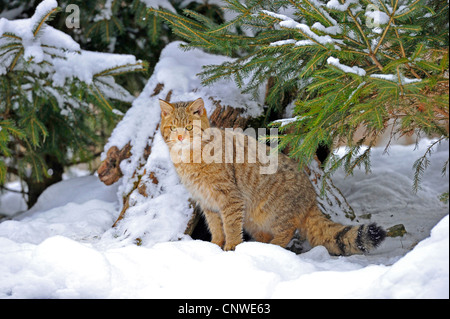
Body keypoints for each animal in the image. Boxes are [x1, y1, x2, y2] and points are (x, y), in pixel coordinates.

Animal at [160, 97, 384, 255]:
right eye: (173, 127)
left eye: (189, 127)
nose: (179, 137)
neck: (189, 158)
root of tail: (311, 196)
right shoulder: (207, 201)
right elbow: (215, 227)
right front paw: (214, 245)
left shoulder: (230, 198)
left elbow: (230, 226)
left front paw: (231, 246)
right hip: (254, 220)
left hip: (276, 212)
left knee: (286, 232)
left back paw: (272, 248)